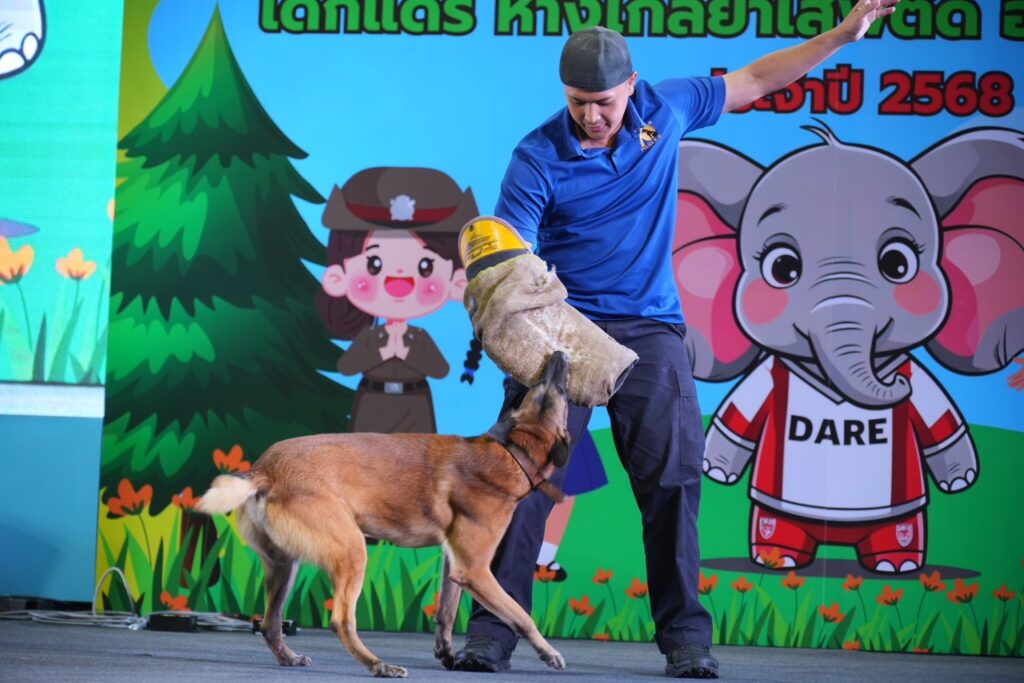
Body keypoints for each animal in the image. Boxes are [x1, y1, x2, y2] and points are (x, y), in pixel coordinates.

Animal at [197, 351, 572, 678]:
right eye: (556, 392)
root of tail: (266, 470)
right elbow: (520, 615)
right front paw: (549, 653)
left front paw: (446, 654)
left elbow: (446, 614)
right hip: (352, 551)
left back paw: (290, 658)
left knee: (270, 624)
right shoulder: (476, 570)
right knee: (340, 621)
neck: (511, 453)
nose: (559, 356)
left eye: (546, 390)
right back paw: (379, 666)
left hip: (284, 565)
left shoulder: (456, 565)